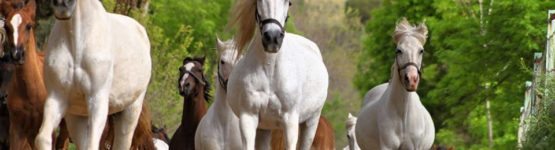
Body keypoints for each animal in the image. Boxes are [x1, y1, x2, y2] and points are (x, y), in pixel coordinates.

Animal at [35, 0, 152, 149]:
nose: (62, 4)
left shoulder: (97, 98)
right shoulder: (57, 96)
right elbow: (42, 138)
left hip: (130, 111)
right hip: (76, 117)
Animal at [227, 0, 328, 149]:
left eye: (289, 2)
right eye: (259, 1)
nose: (272, 38)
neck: (270, 72)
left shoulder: (290, 121)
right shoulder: (248, 118)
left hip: (311, 122)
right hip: (264, 128)